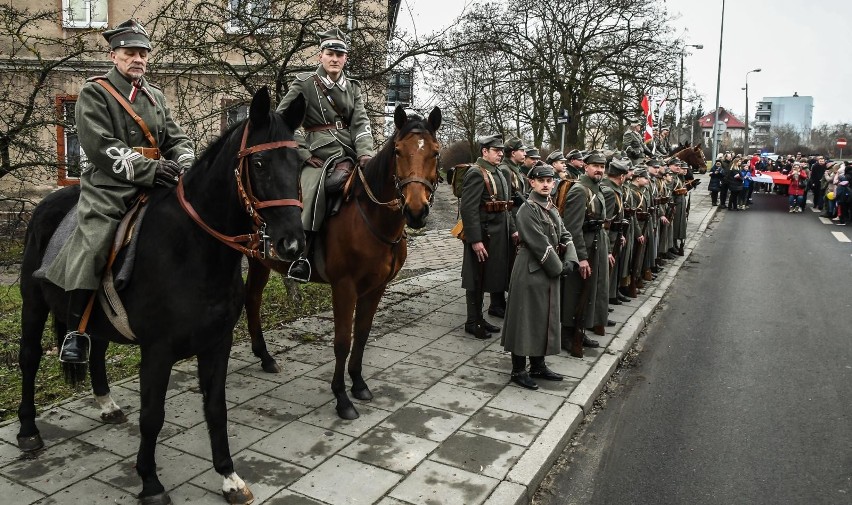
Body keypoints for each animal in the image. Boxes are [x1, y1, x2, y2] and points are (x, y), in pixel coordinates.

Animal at [16, 87, 306, 504]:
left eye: (300, 163)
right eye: (261, 162)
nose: (292, 244)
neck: (195, 248)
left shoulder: (217, 343)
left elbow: (216, 407)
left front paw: (229, 476)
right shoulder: (158, 350)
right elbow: (152, 416)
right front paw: (150, 482)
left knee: (96, 350)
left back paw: (106, 404)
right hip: (33, 303)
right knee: (29, 358)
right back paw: (28, 431)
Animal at [245, 105, 440, 418]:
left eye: (434, 152)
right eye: (398, 151)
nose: (416, 210)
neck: (370, 215)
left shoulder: (376, 287)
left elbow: (361, 335)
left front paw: (358, 384)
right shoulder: (344, 287)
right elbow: (342, 342)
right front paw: (341, 397)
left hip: (259, 262)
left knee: (251, 299)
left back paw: (265, 357)